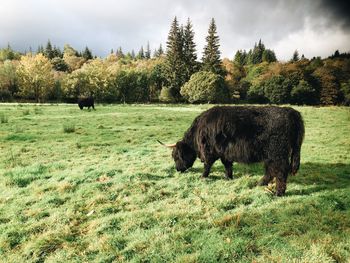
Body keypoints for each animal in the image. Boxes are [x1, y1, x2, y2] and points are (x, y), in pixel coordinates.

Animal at [159, 106, 304, 197]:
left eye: (175, 156)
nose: (177, 169)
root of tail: (291, 112)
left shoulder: (210, 151)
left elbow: (207, 165)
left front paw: (202, 177)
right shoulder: (224, 152)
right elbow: (227, 165)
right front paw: (228, 177)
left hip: (277, 153)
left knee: (281, 170)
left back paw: (278, 193)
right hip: (269, 154)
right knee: (271, 170)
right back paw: (260, 183)